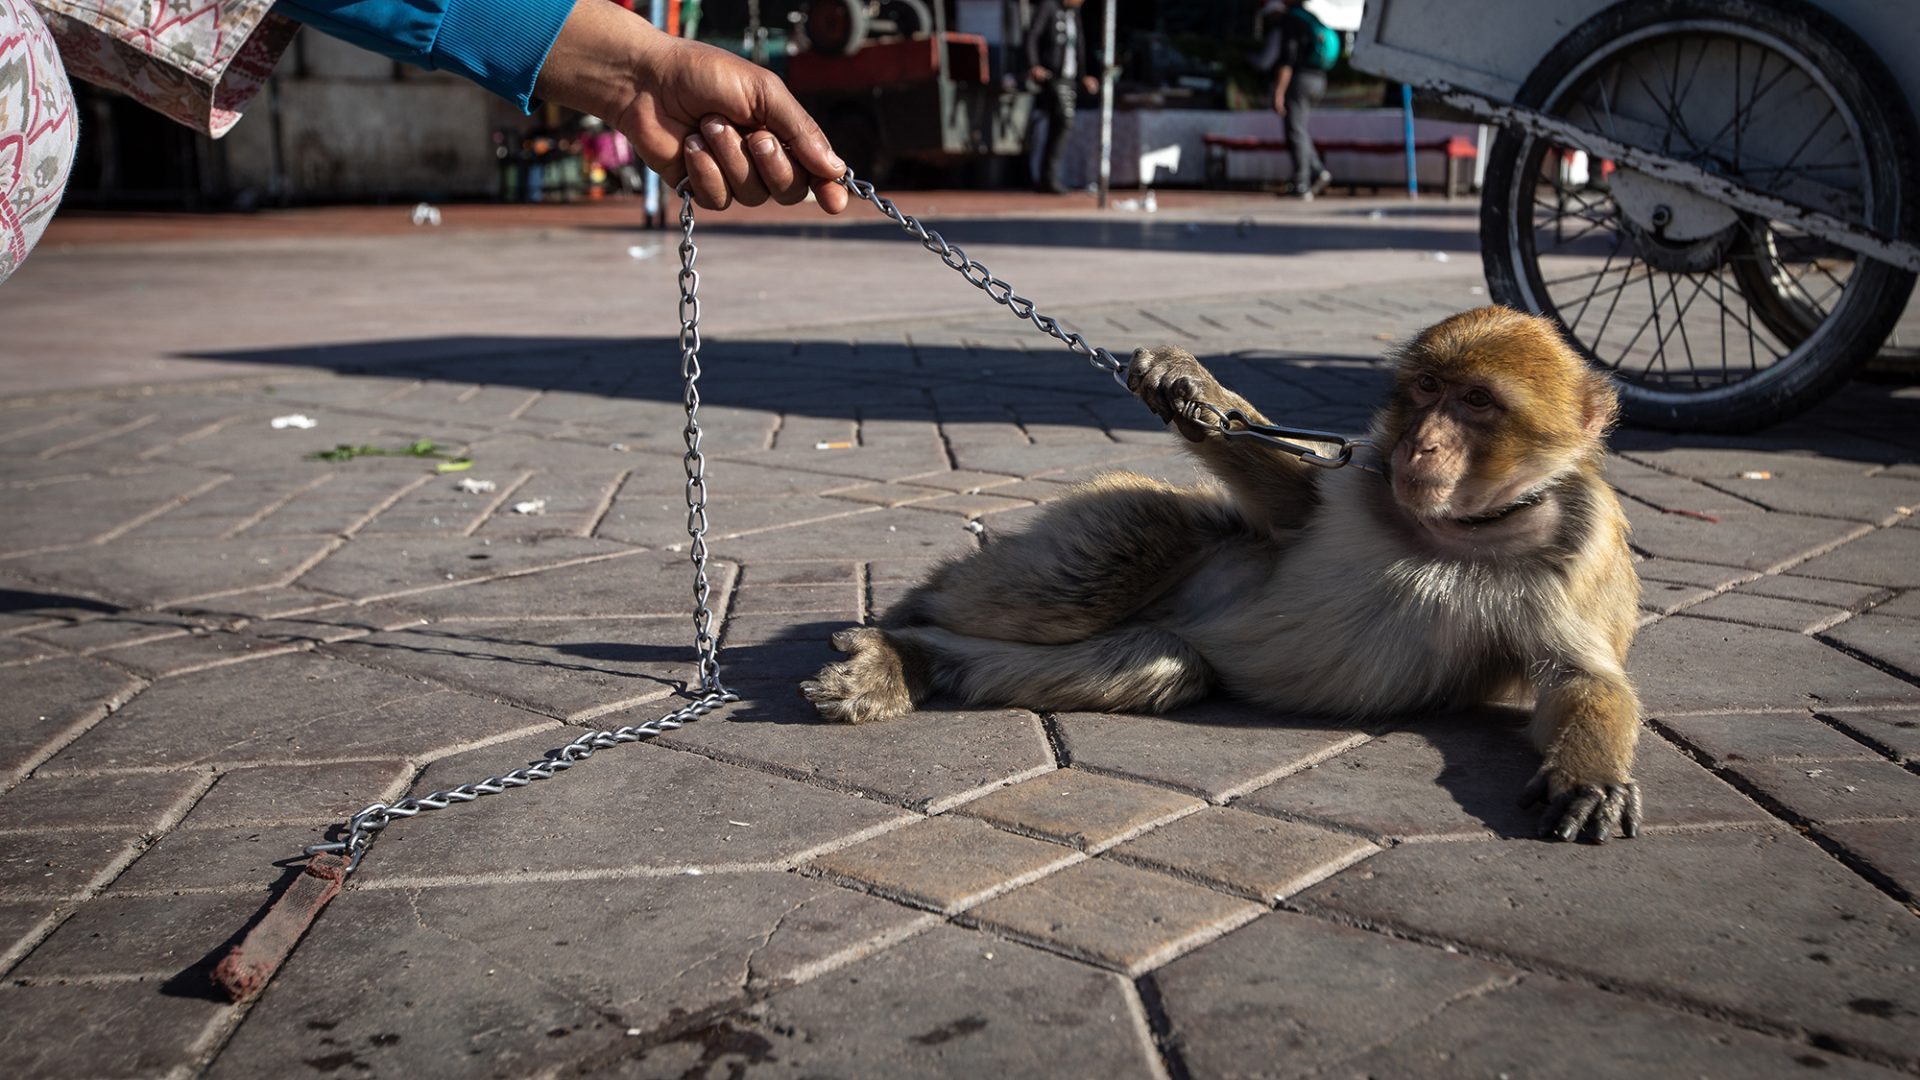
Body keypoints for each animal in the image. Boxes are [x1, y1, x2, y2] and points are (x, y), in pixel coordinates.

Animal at [802, 305, 1643, 841]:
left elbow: (1578, 677)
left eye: (1476, 402)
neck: (1457, 529)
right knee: (1129, 550)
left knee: (1162, 663)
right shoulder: (1369, 472)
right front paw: (1189, 387)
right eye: (1427, 392)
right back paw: (905, 635)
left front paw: (1589, 772)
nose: (1422, 445)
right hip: (1134, 534)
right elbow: (1293, 505)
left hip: (1164, 628)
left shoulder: (1581, 551)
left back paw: (921, 659)